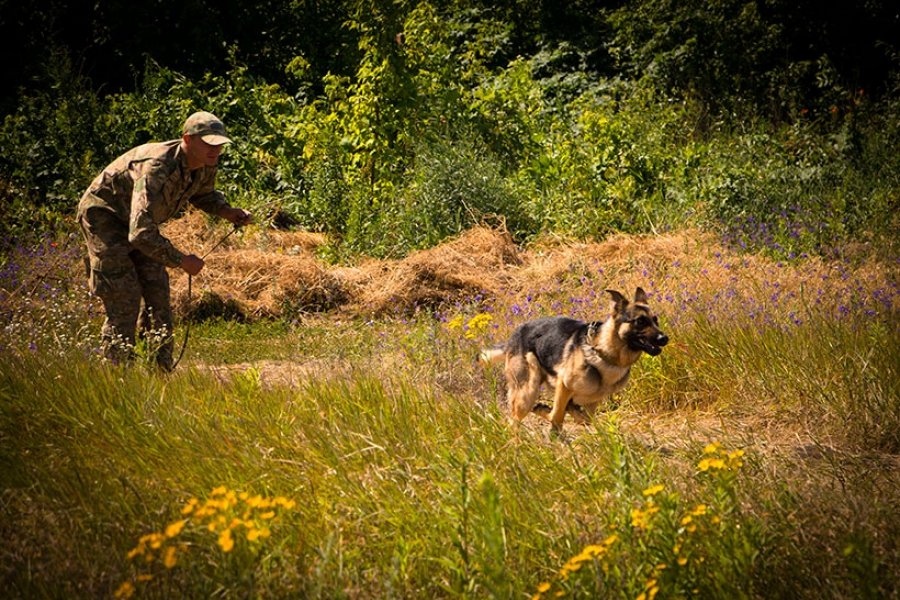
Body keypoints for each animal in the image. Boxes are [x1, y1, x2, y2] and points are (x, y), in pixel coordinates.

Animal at [482, 288, 664, 432]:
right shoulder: (564, 385)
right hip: (526, 392)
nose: (665, 338)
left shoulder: (591, 401)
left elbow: (584, 419)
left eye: (655, 320)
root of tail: (513, 336)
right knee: (514, 422)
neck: (604, 354)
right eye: (640, 321)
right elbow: (556, 416)